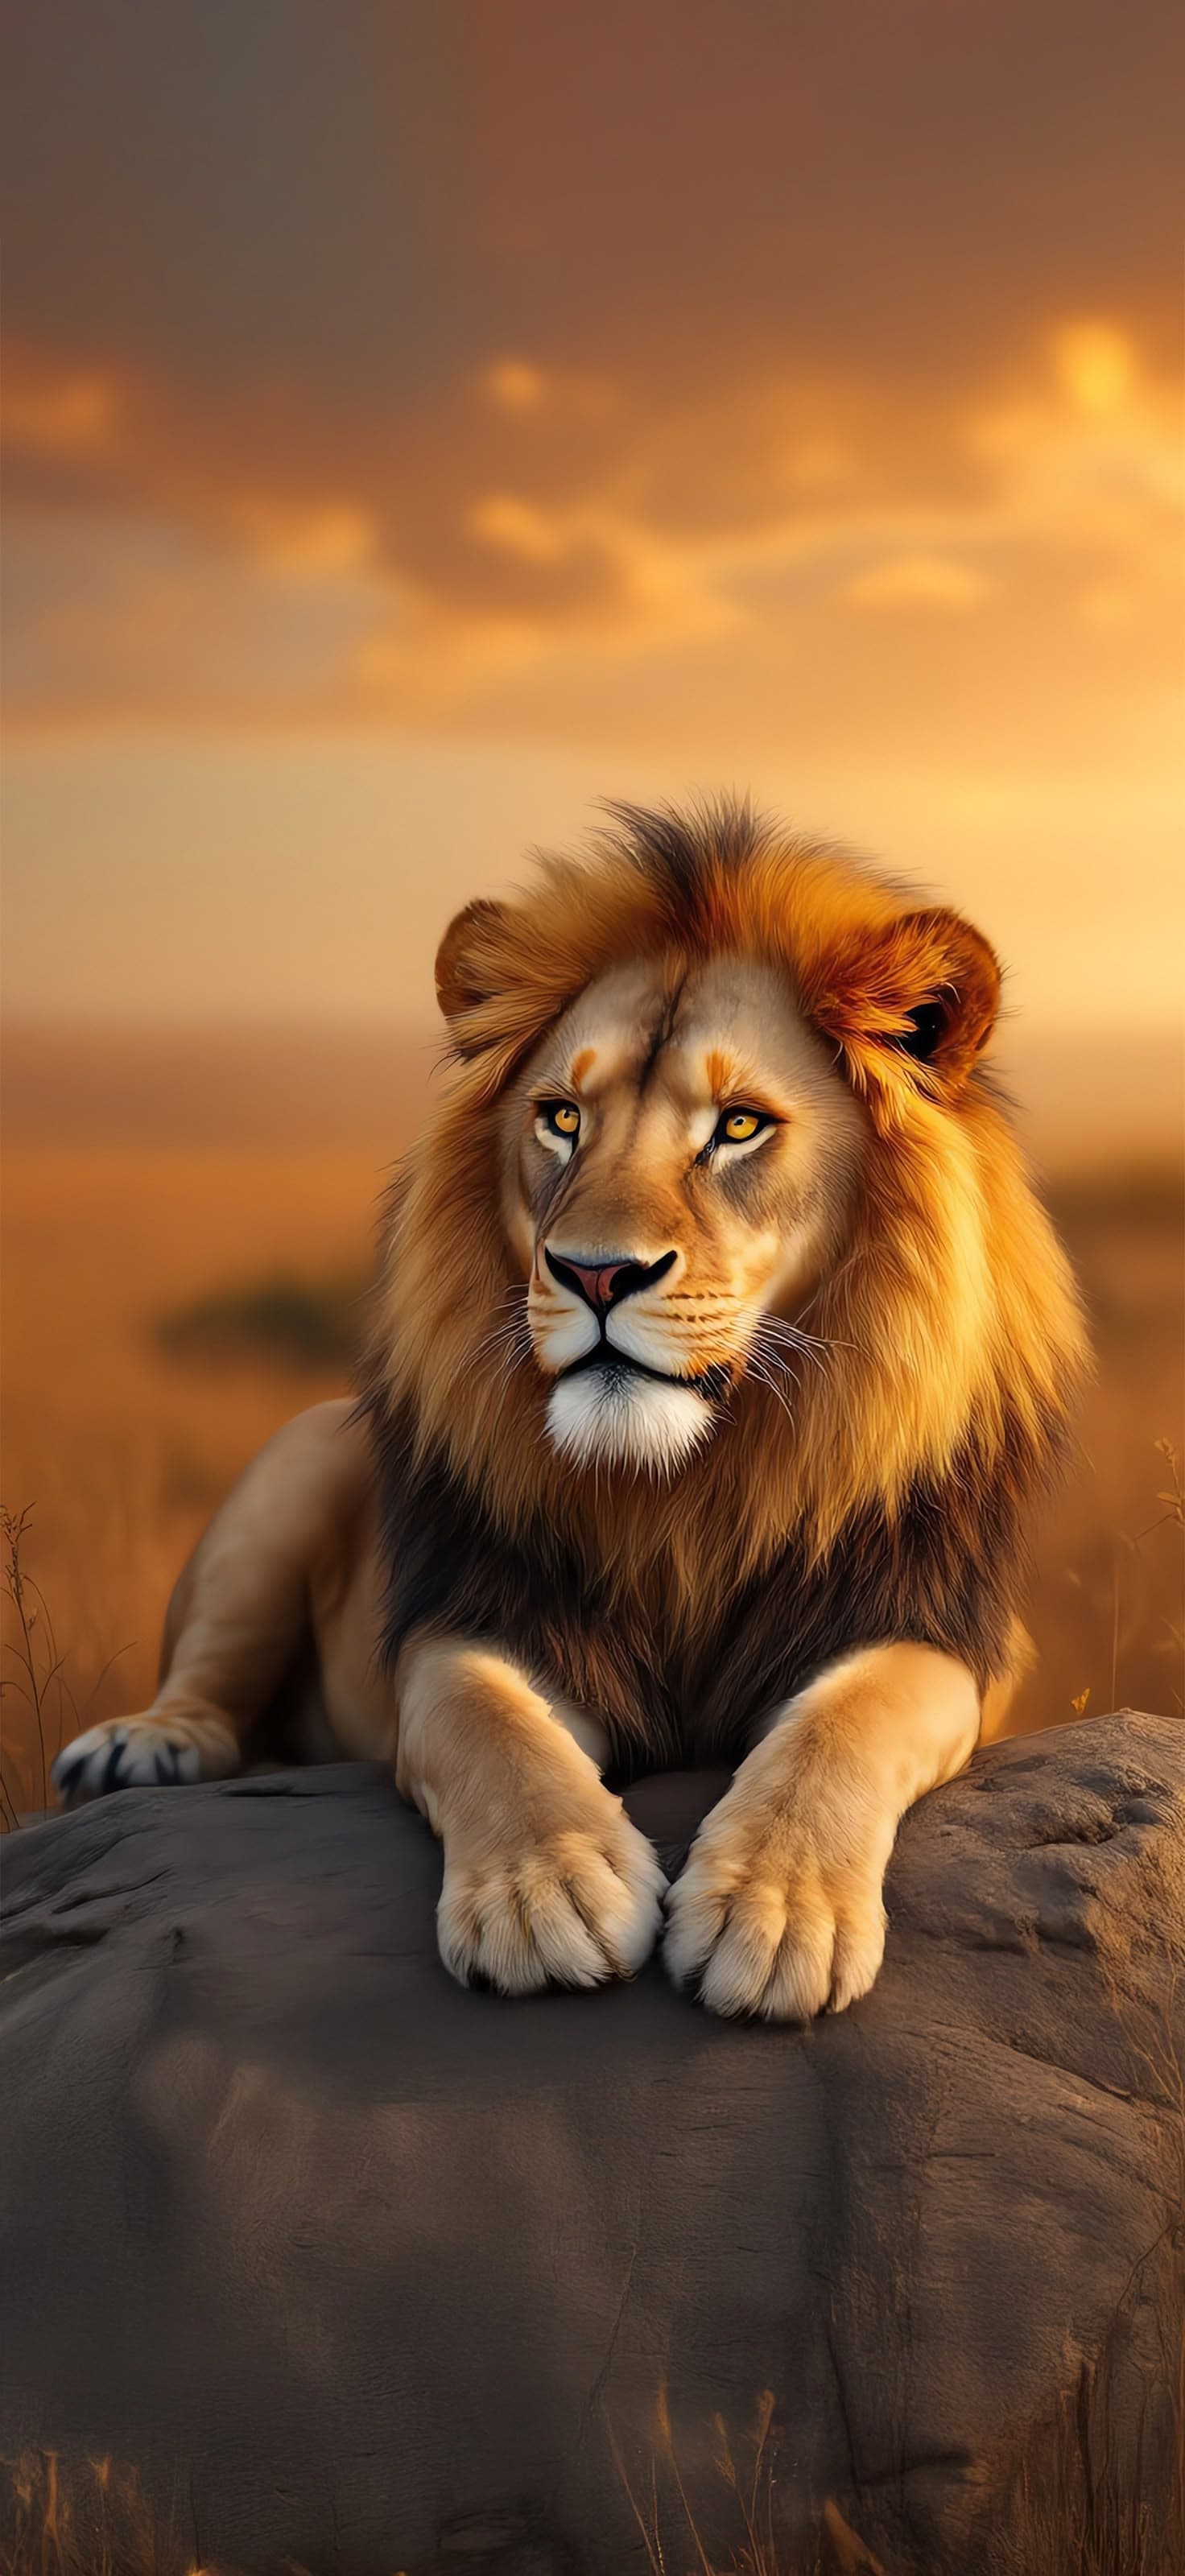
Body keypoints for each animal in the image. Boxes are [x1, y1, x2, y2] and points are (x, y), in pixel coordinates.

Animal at [52, 800, 1086, 2018]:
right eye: (559, 1119)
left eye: (739, 1127)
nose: (595, 1273)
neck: (686, 1487)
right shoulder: (471, 1617)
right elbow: (489, 1726)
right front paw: (544, 1895)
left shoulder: (943, 1630)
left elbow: (847, 1719)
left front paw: (775, 1911)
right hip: (292, 1463)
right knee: (208, 1680)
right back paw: (140, 1745)